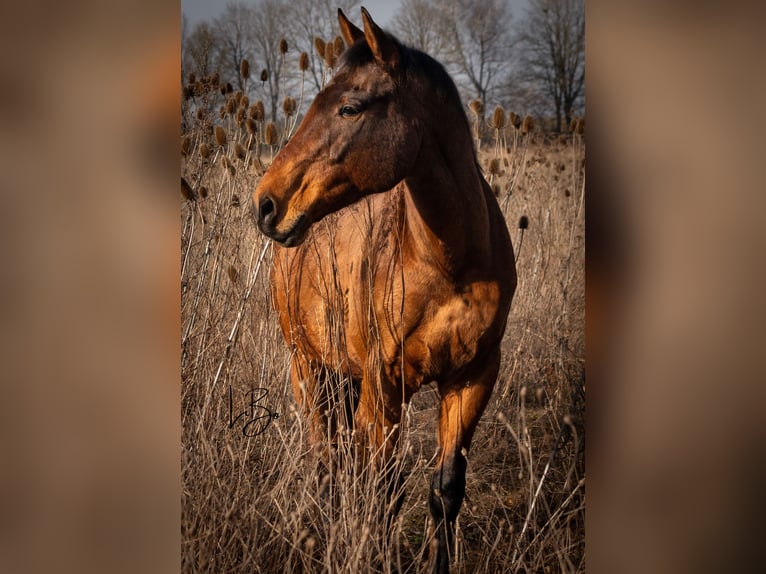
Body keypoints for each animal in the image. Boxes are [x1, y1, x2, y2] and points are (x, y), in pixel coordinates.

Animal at [255, 6, 520, 572]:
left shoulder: (473, 378)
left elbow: (445, 490)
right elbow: (381, 489)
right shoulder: (385, 385)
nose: (266, 204)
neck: (450, 262)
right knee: (328, 463)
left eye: (350, 106)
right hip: (308, 370)